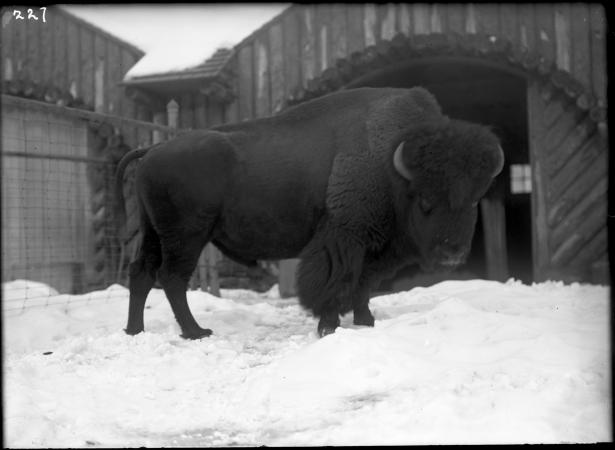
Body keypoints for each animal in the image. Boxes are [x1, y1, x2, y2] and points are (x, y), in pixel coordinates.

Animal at [116, 87, 506, 338]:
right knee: (171, 278)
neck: (390, 163)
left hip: (154, 233)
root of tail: (153, 149)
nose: (452, 252)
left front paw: (366, 321)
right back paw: (196, 331)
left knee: (141, 273)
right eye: (425, 200)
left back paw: (135, 330)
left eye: (474, 199)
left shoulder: (373, 249)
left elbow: (364, 284)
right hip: (186, 236)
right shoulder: (344, 238)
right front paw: (329, 325)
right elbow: (336, 280)